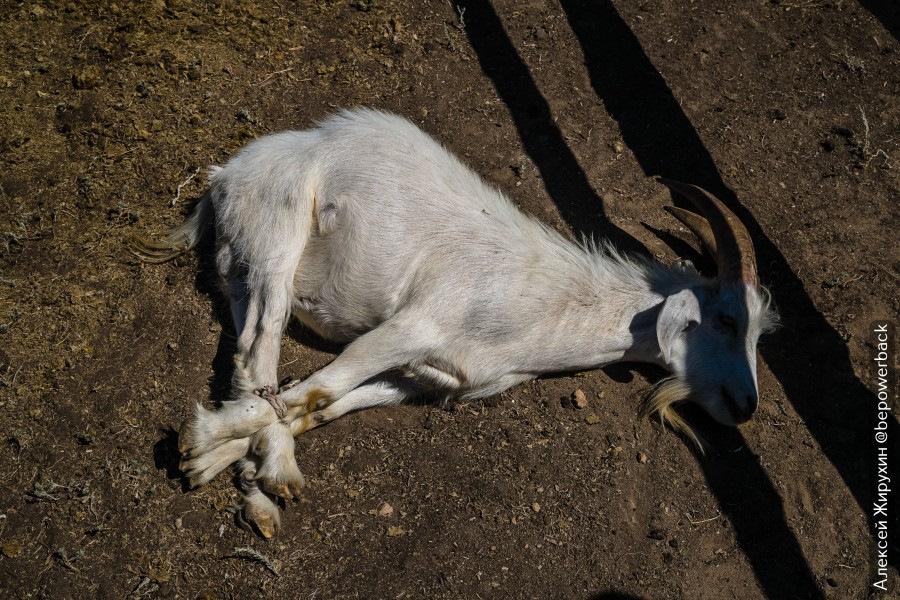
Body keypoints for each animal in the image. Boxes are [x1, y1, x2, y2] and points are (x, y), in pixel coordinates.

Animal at [137, 109, 776, 540]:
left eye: (756, 333)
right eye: (725, 319)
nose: (746, 404)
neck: (538, 303)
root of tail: (224, 176)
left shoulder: (431, 380)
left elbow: (322, 407)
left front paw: (221, 463)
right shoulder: (413, 325)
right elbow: (317, 388)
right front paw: (208, 443)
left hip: (238, 270)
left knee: (247, 357)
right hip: (279, 230)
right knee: (262, 346)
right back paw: (270, 474)